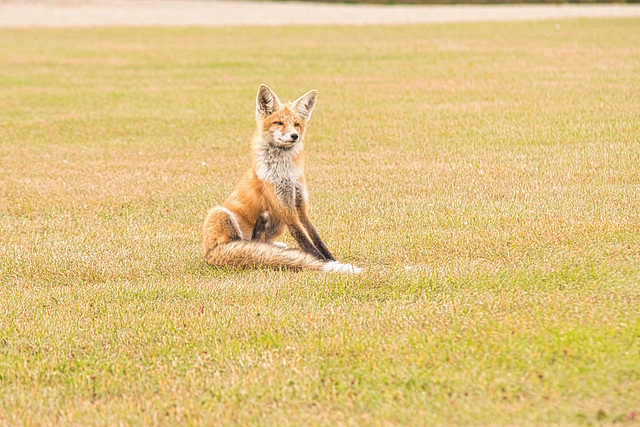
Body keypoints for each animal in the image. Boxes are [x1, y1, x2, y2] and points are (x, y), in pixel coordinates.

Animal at [202, 85, 360, 274]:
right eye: (279, 123)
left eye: (296, 124)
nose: (294, 136)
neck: (286, 174)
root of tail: (209, 255)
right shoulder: (286, 210)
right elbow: (306, 242)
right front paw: (327, 263)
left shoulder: (300, 206)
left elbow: (316, 238)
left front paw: (332, 259)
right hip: (220, 213)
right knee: (248, 245)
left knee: (258, 243)